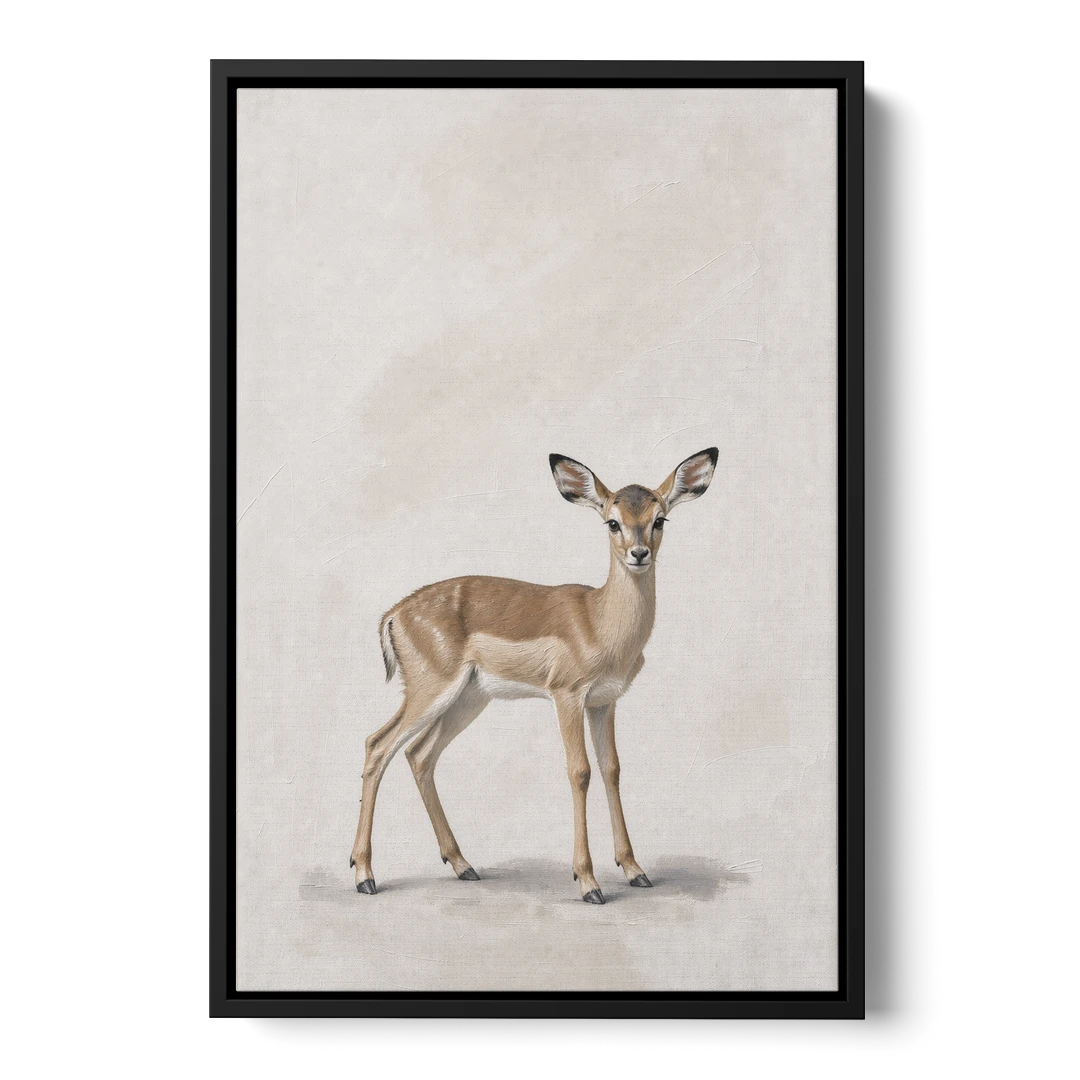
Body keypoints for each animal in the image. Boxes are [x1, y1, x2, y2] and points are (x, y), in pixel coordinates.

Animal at [349, 447, 718, 903]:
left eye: (659, 519)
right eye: (612, 521)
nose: (638, 553)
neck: (600, 621)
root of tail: (394, 613)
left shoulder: (604, 702)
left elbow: (612, 768)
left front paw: (635, 870)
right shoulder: (566, 696)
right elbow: (580, 771)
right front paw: (588, 882)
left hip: (469, 699)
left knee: (419, 755)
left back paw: (464, 866)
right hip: (430, 690)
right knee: (377, 745)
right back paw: (365, 875)